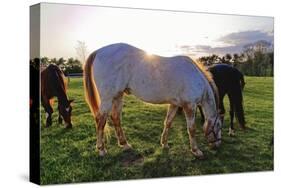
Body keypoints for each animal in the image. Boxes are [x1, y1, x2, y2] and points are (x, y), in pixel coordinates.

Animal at [83, 43, 221, 158]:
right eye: (219, 126)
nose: (217, 145)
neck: (195, 78)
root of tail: (98, 51)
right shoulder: (189, 106)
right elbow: (191, 129)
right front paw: (196, 151)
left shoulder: (174, 104)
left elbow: (168, 122)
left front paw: (164, 144)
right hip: (108, 98)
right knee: (100, 120)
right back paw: (101, 149)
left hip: (118, 96)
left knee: (116, 117)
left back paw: (125, 144)